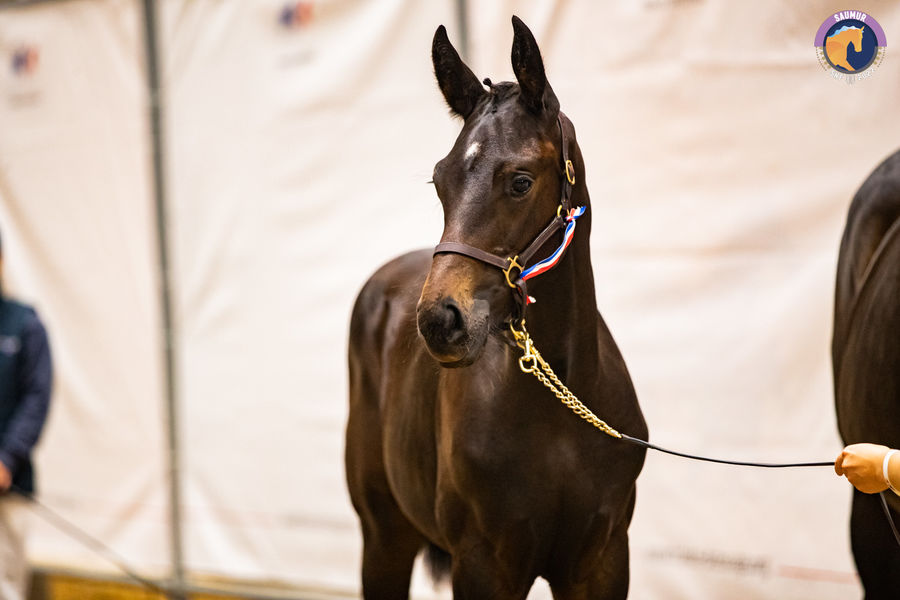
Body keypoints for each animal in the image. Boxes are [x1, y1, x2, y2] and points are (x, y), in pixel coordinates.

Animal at [344, 16, 648, 596]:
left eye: (520, 181)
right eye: (439, 182)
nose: (440, 322)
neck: (560, 412)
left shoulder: (601, 561)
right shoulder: (483, 565)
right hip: (383, 538)